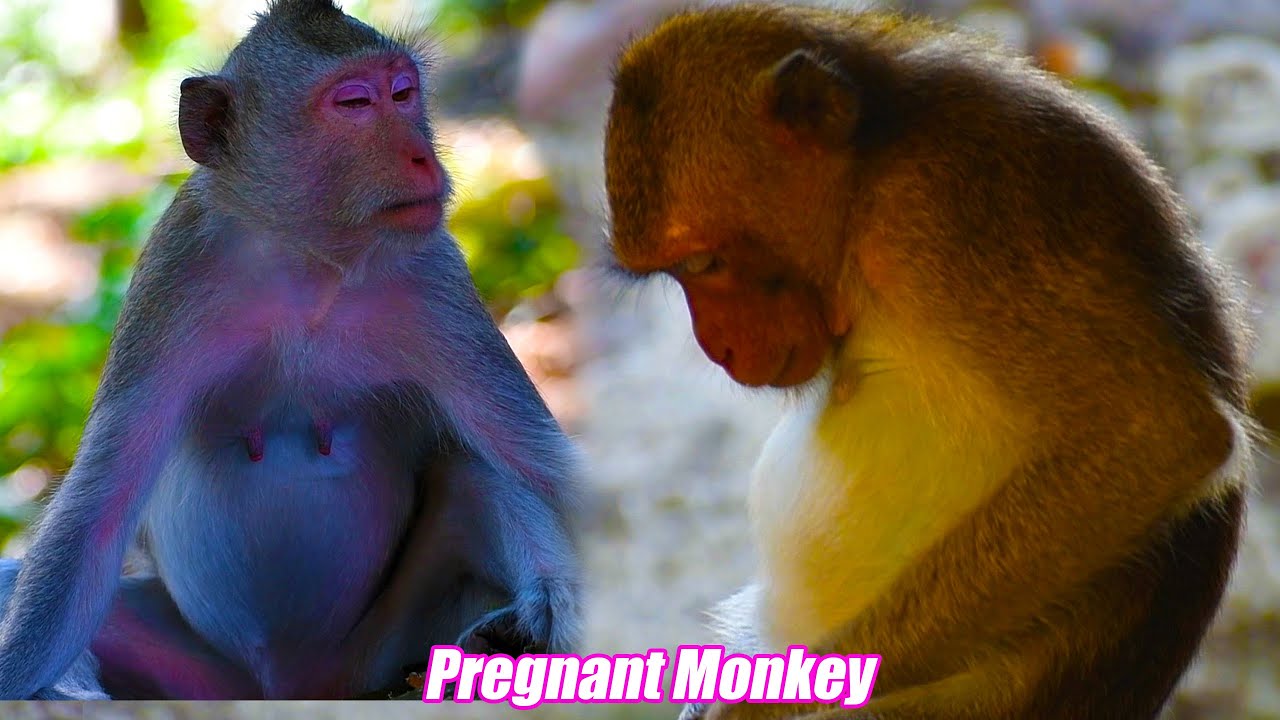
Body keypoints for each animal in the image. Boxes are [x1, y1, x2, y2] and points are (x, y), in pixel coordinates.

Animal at [0, 0, 580, 700]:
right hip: (205, 677)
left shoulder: (437, 281)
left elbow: (545, 462)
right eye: (354, 103)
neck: (308, 266)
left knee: (476, 477)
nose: (422, 156)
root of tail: (297, 685)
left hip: (374, 652)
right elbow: (95, 518)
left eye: (403, 92)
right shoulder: (172, 277)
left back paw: (527, 621)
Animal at [603, 4, 1255, 719]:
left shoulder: (947, 210)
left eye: (705, 263)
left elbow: (1158, 432)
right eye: (683, 271)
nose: (715, 347)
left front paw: (772, 700)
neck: (872, 171)